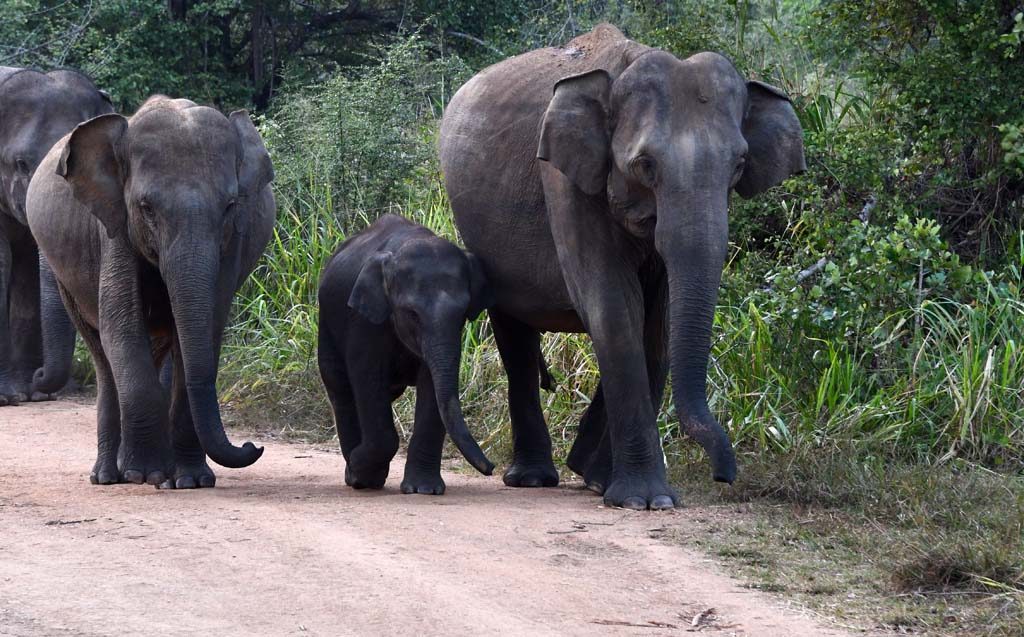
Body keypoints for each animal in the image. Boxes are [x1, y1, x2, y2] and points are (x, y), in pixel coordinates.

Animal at [319, 217, 495, 497]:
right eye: (412, 313)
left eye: (463, 313)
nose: (491, 468)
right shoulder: (363, 320)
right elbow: (367, 377)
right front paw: (361, 473)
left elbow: (431, 386)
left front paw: (424, 489)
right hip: (326, 323)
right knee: (341, 389)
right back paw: (356, 475)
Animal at [436, 24, 802, 512]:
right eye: (644, 164)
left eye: (739, 164)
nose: (724, 476)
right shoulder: (565, 181)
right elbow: (613, 308)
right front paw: (646, 500)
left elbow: (657, 323)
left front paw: (610, 484)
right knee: (514, 334)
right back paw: (533, 478)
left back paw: (585, 473)